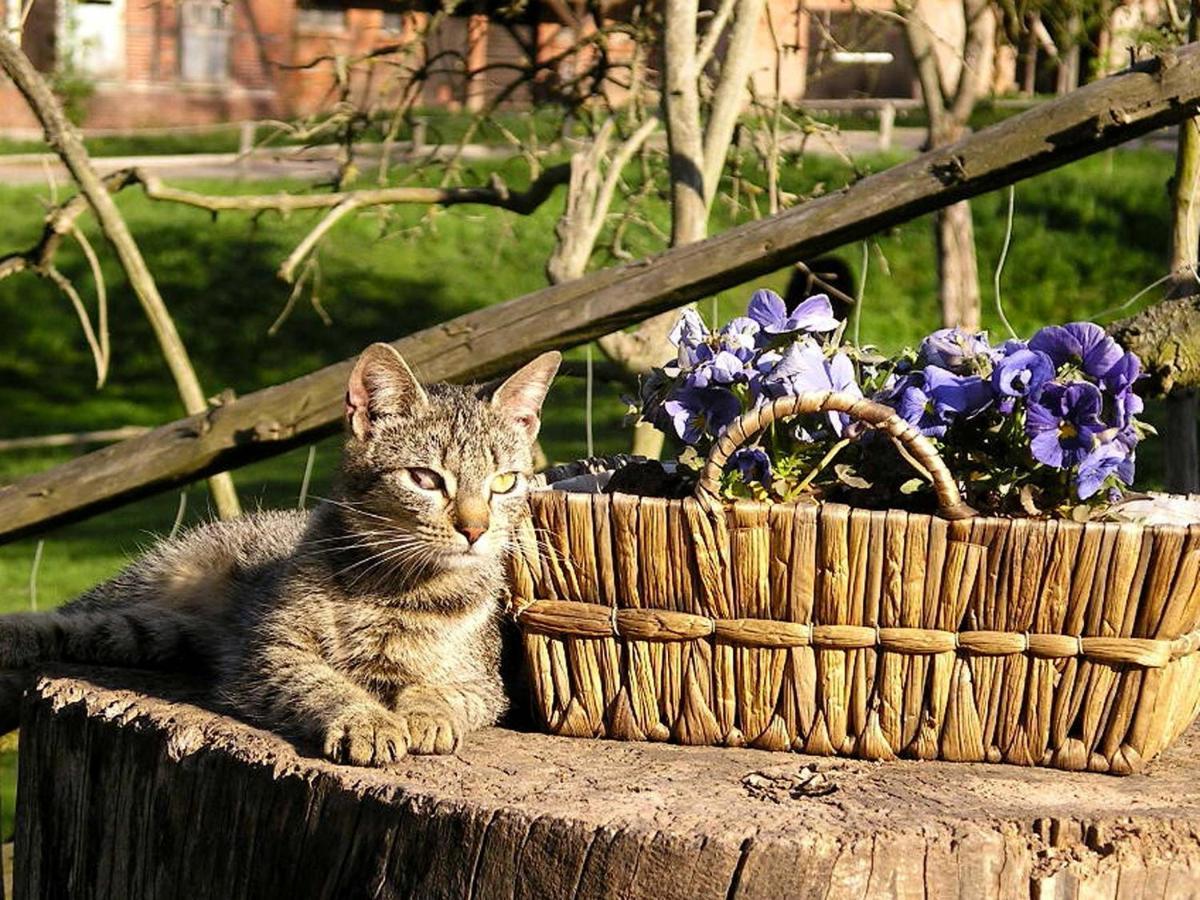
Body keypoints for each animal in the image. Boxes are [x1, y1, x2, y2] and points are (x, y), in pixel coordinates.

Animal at [0, 345, 559, 768]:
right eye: (424, 479)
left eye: (505, 482)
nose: (475, 529)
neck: (401, 588)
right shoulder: (268, 655)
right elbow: (323, 684)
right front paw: (368, 719)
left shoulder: (486, 681)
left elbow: (447, 690)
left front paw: (428, 713)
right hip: (155, 584)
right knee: (70, 616)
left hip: (157, 633)